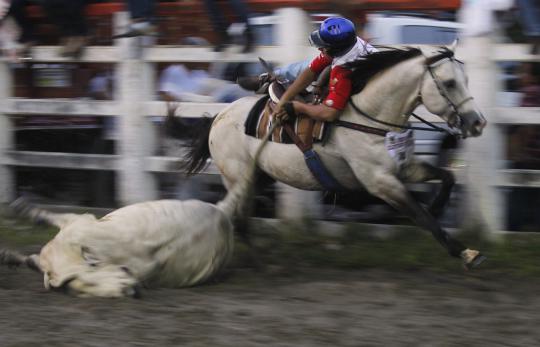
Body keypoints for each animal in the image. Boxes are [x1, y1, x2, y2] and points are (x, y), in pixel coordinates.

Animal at [181, 45, 490, 270]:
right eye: (449, 83)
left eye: (465, 80)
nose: (478, 123)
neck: (371, 118)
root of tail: (219, 116)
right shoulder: (381, 182)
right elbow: (421, 216)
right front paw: (465, 252)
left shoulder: (404, 168)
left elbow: (447, 177)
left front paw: (438, 207)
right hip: (238, 177)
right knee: (239, 218)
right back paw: (256, 263)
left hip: (256, 175)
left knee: (242, 217)